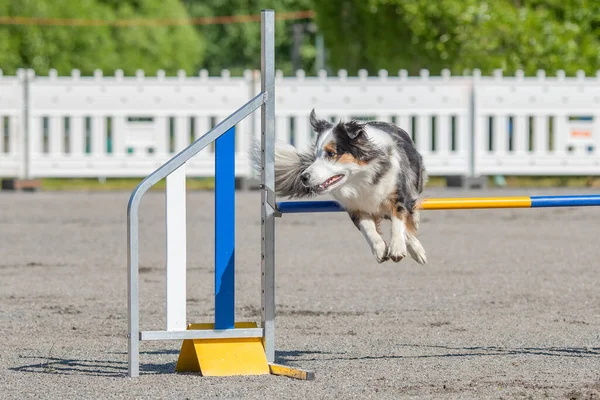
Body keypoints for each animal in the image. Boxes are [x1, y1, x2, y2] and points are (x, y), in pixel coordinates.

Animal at [258, 110, 426, 266]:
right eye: (315, 156)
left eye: (331, 153)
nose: (303, 177)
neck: (360, 179)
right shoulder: (355, 207)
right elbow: (368, 229)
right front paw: (379, 249)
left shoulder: (399, 194)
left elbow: (399, 220)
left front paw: (397, 248)